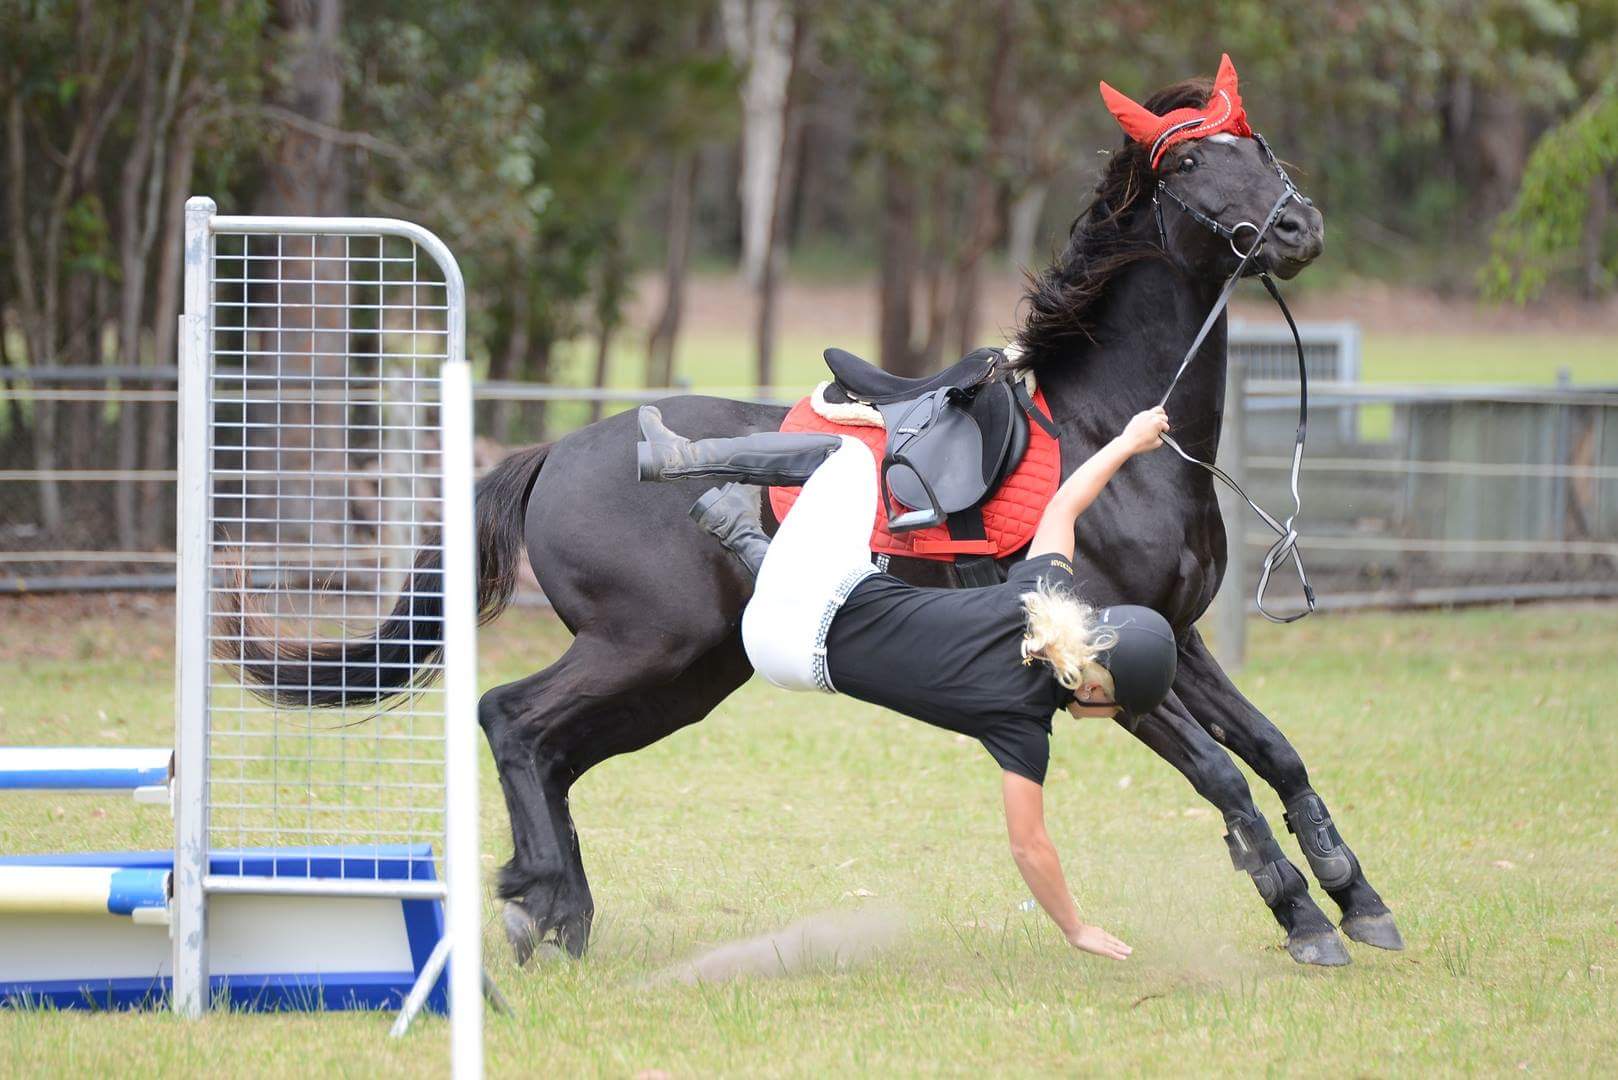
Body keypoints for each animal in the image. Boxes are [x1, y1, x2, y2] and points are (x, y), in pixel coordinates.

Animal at [236, 78, 1404, 971]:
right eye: (1193, 163)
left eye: (1258, 143)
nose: (1297, 227)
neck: (1108, 438)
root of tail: (558, 451)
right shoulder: (1104, 661)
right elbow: (1223, 773)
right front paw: (1300, 915)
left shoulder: (1183, 641)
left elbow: (1277, 752)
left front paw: (1357, 897)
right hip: (645, 644)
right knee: (511, 717)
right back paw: (537, 902)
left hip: (687, 673)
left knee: (553, 751)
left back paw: (558, 911)